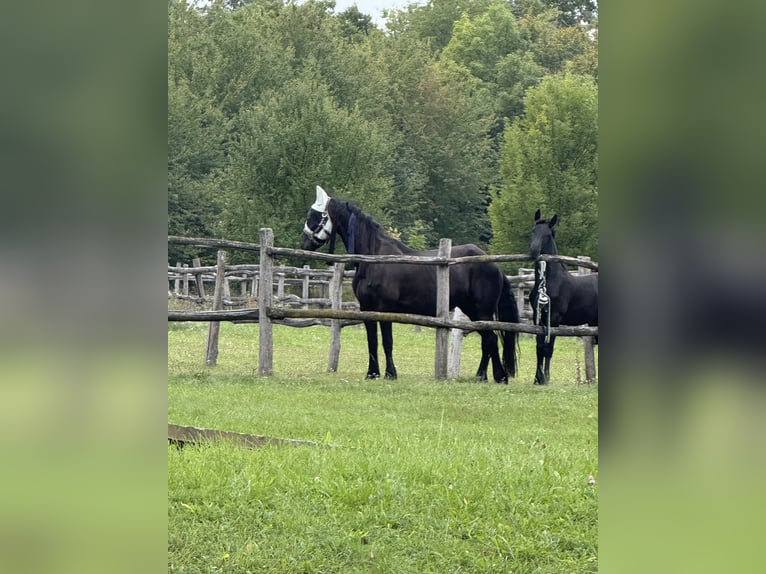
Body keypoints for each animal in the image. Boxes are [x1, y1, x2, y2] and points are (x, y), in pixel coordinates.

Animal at [301, 186, 518, 383]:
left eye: (315, 215)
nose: (304, 243)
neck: (374, 258)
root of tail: (493, 264)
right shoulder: (367, 309)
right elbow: (372, 342)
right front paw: (372, 373)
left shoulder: (384, 310)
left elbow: (387, 342)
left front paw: (390, 374)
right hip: (472, 310)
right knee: (487, 340)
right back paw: (482, 376)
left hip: (482, 310)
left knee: (490, 339)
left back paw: (499, 376)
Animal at [528, 209, 598, 384]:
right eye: (533, 231)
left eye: (548, 235)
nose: (533, 251)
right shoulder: (537, 317)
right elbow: (539, 348)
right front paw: (537, 379)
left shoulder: (554, 318)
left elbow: (548, 349)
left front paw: (546, 378)